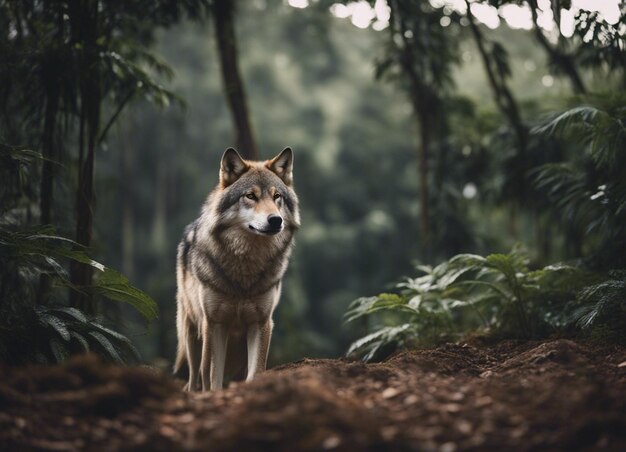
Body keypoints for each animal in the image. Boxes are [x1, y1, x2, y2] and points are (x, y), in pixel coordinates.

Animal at [171, 147, 298, 390]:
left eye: (277, 196)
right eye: (251, 196)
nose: (276, 220)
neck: (245, 267)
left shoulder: (261, 323)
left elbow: (256, 372)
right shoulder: (215, 324)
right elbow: (212, 377)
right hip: (192, 333)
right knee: (194, 376)